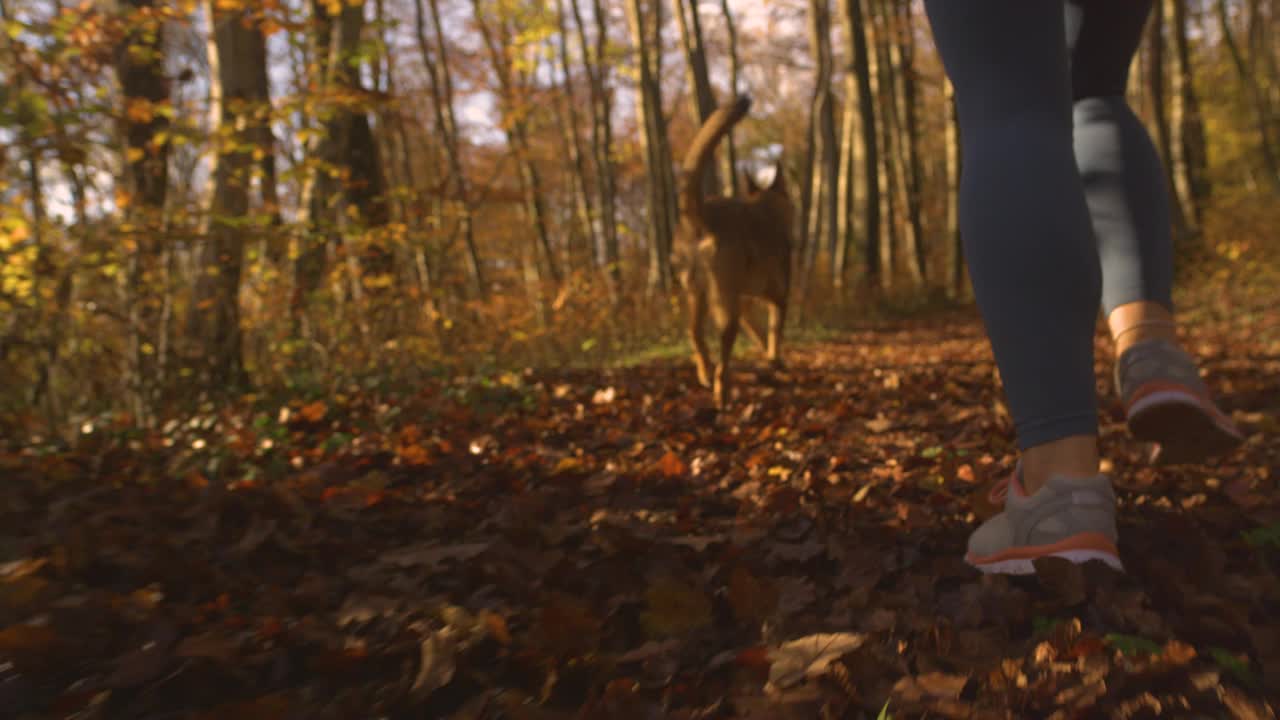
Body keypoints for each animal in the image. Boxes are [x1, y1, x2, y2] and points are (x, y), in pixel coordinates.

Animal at [675, 96, 793, 407]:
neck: (767, 207)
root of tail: (704, 217)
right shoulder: (778, 298)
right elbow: (774, 334)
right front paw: (775, 361)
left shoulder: (747, 303)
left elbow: (761, 335)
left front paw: (773, 363)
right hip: (723, 307)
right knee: (723, 354)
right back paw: (722, 391)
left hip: (697, 295)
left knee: (694, 333)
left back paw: (705, 372)